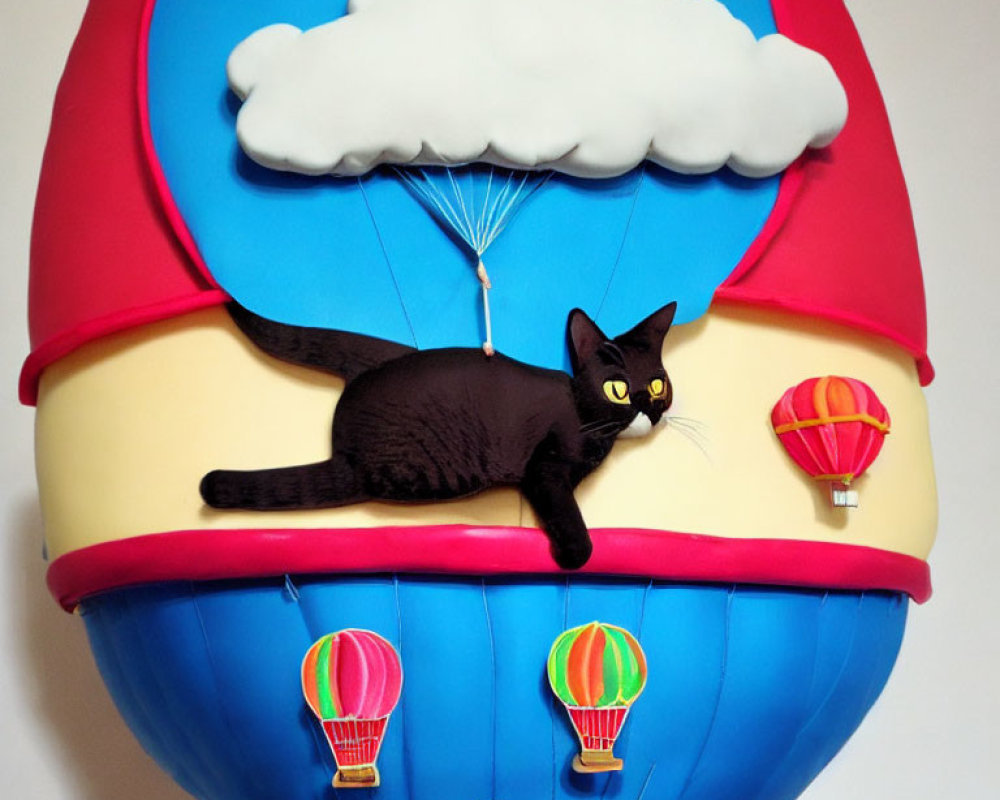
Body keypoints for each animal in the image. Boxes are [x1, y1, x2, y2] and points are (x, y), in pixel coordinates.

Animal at [199, 300, 676, 568]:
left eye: (658, 385)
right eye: (617, 389)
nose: (648, 409)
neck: (585, 414)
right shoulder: (546, 469)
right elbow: (565, 510)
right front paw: (573, 553)